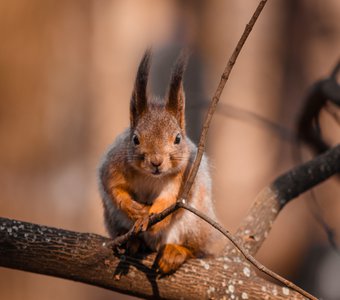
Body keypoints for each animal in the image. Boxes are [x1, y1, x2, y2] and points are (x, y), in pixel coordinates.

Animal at [98, 49, 222, 274]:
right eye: (135, 139)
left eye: (178, 139)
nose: (156, 162)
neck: (151, 176)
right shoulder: (113, 165)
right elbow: (113, 187)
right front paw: (133, 208)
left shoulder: (185, 175)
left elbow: (171, 198)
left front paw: (152, 215)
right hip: (113, 219)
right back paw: (133, 242)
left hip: (195, 226)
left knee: (194, 249)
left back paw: (175, 252)